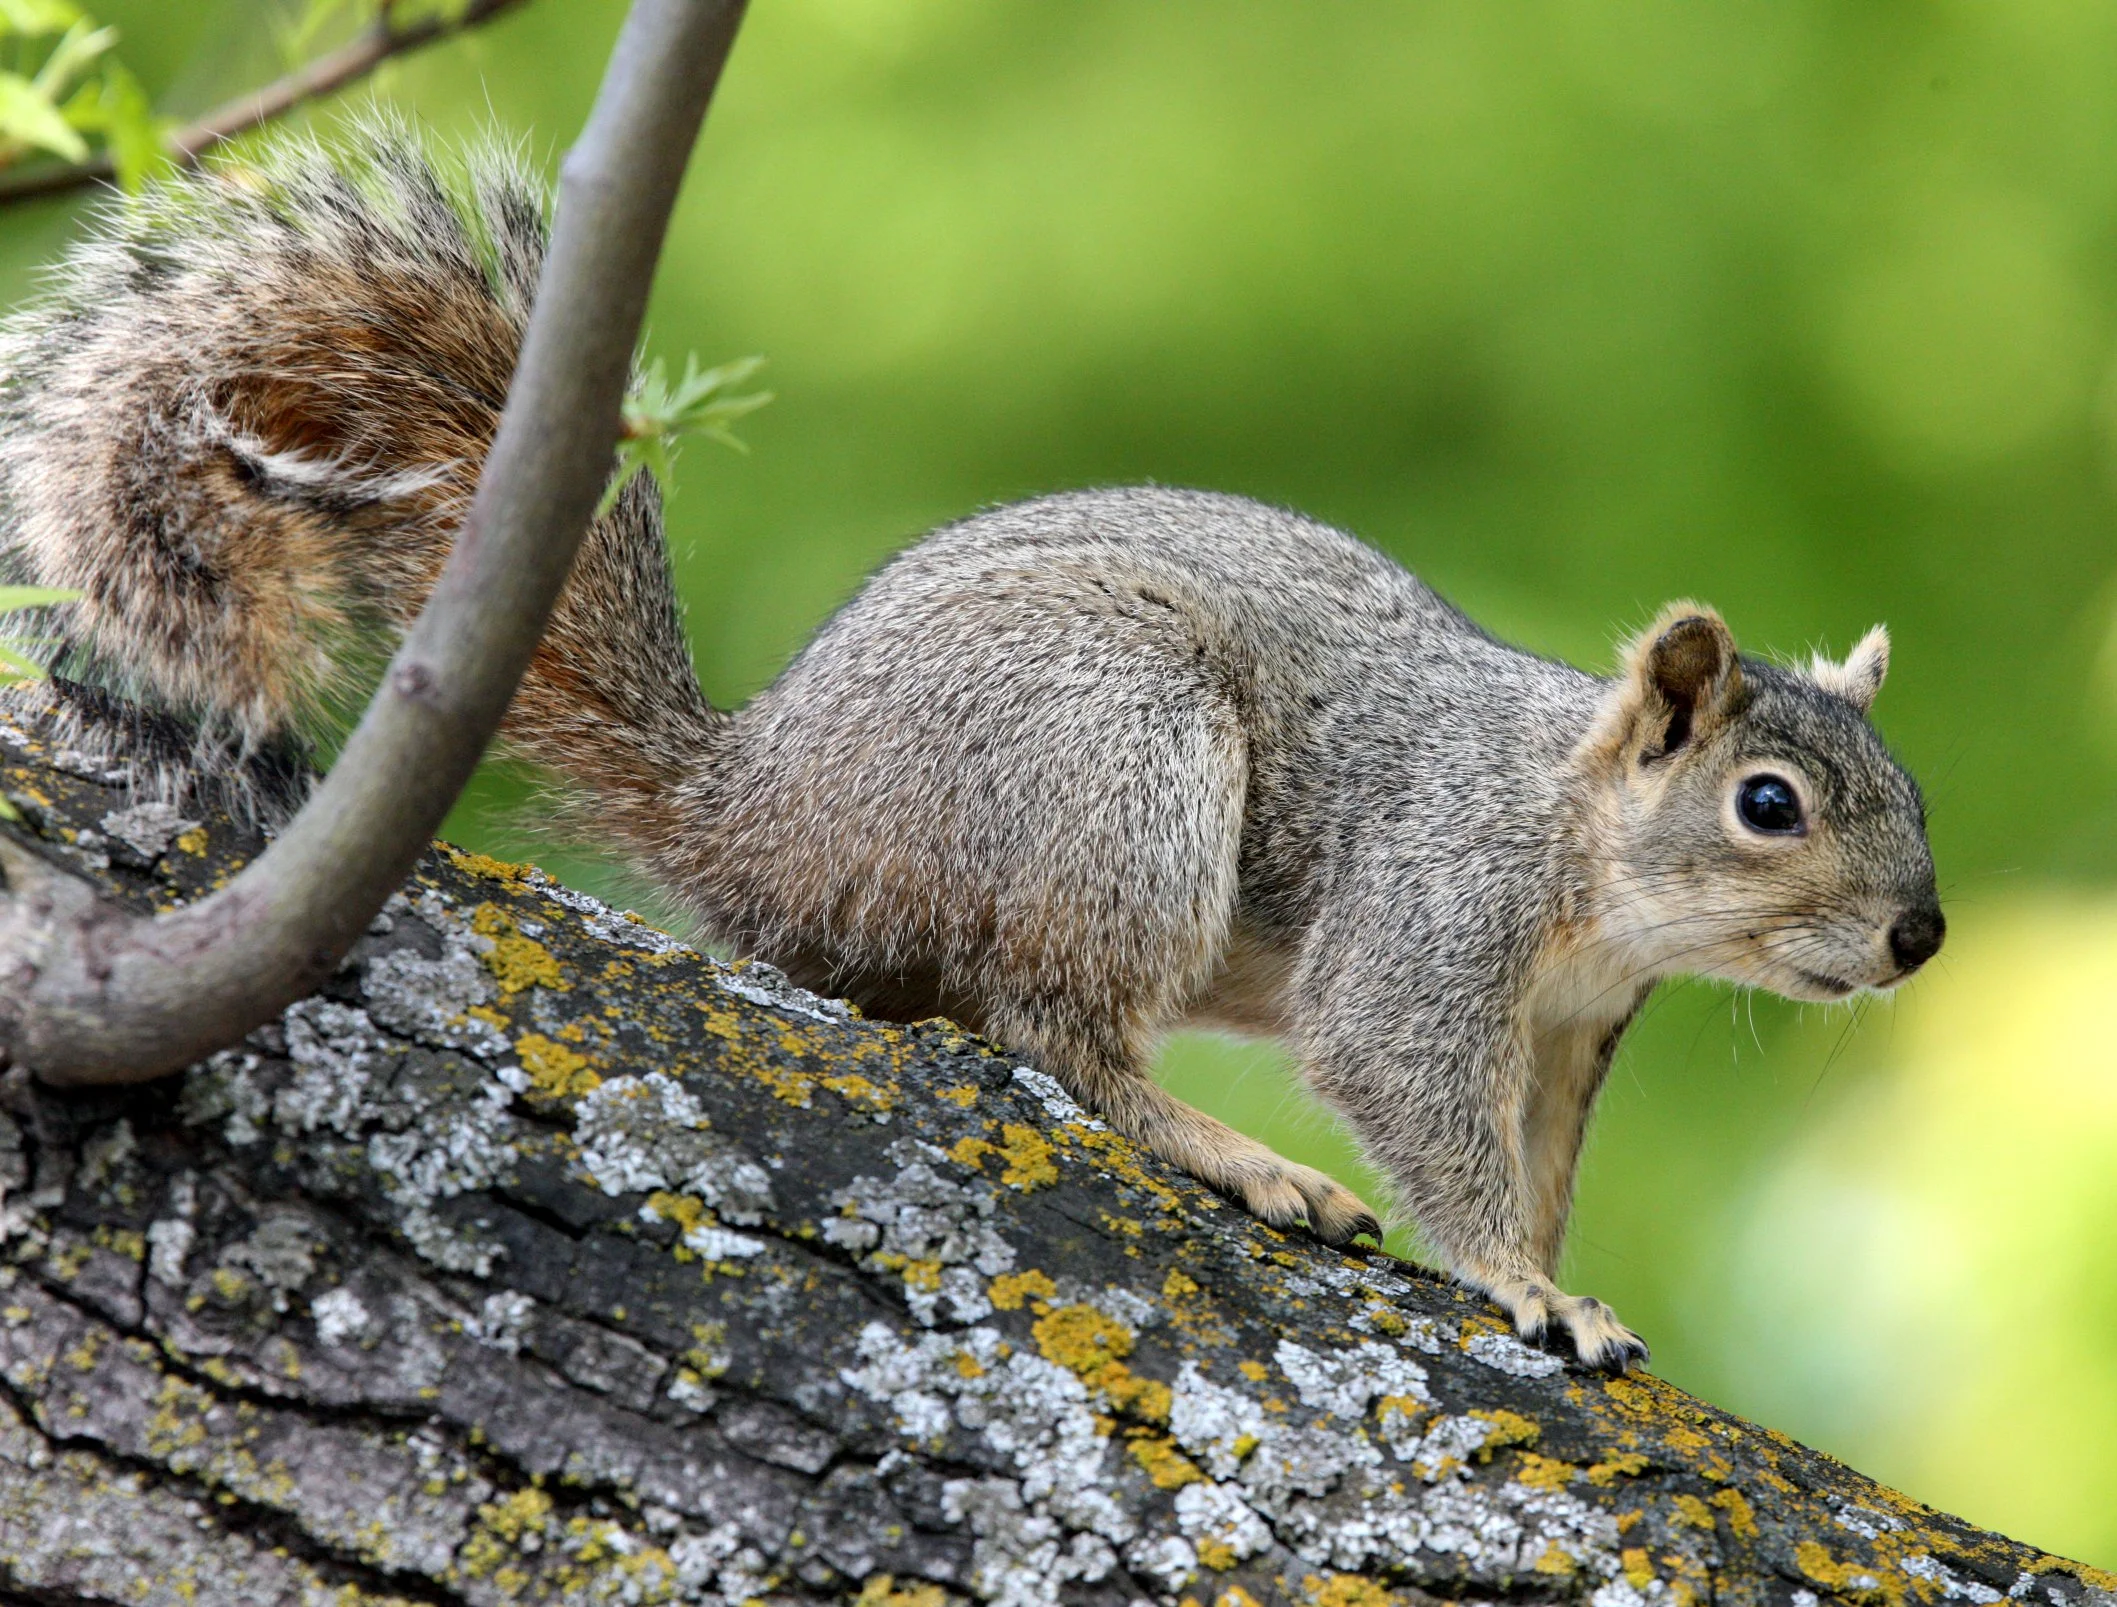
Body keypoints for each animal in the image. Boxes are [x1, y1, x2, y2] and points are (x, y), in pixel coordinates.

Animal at [0, 124, 1943, 1370]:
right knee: (1053, 1027)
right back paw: (1229, 1148)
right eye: (1767, 803)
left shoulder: (1568, 1031)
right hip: (1111, 753)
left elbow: (1533, 1162)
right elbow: (1406, 1089)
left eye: (1908, 793)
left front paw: (1556, 1274)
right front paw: (1516, 1287)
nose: (1920, 933)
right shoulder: (1433, 910)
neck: (1581, 843)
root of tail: (749, 810)